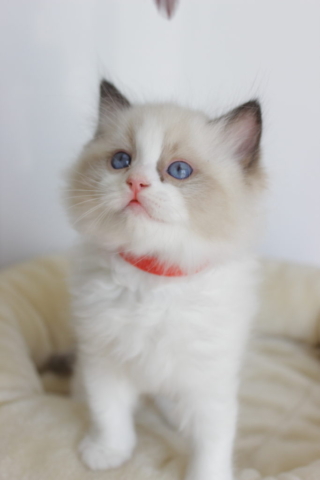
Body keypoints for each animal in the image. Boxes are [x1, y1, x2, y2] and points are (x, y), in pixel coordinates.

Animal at [65, 79, 264, 480]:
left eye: (179, 170)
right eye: (121, 161)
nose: (136, 182)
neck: (153, 276)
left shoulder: (209, 379)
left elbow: (212, 442)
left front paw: (207, 476)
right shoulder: (103, 360)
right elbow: (109, 415)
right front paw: (107, 453)